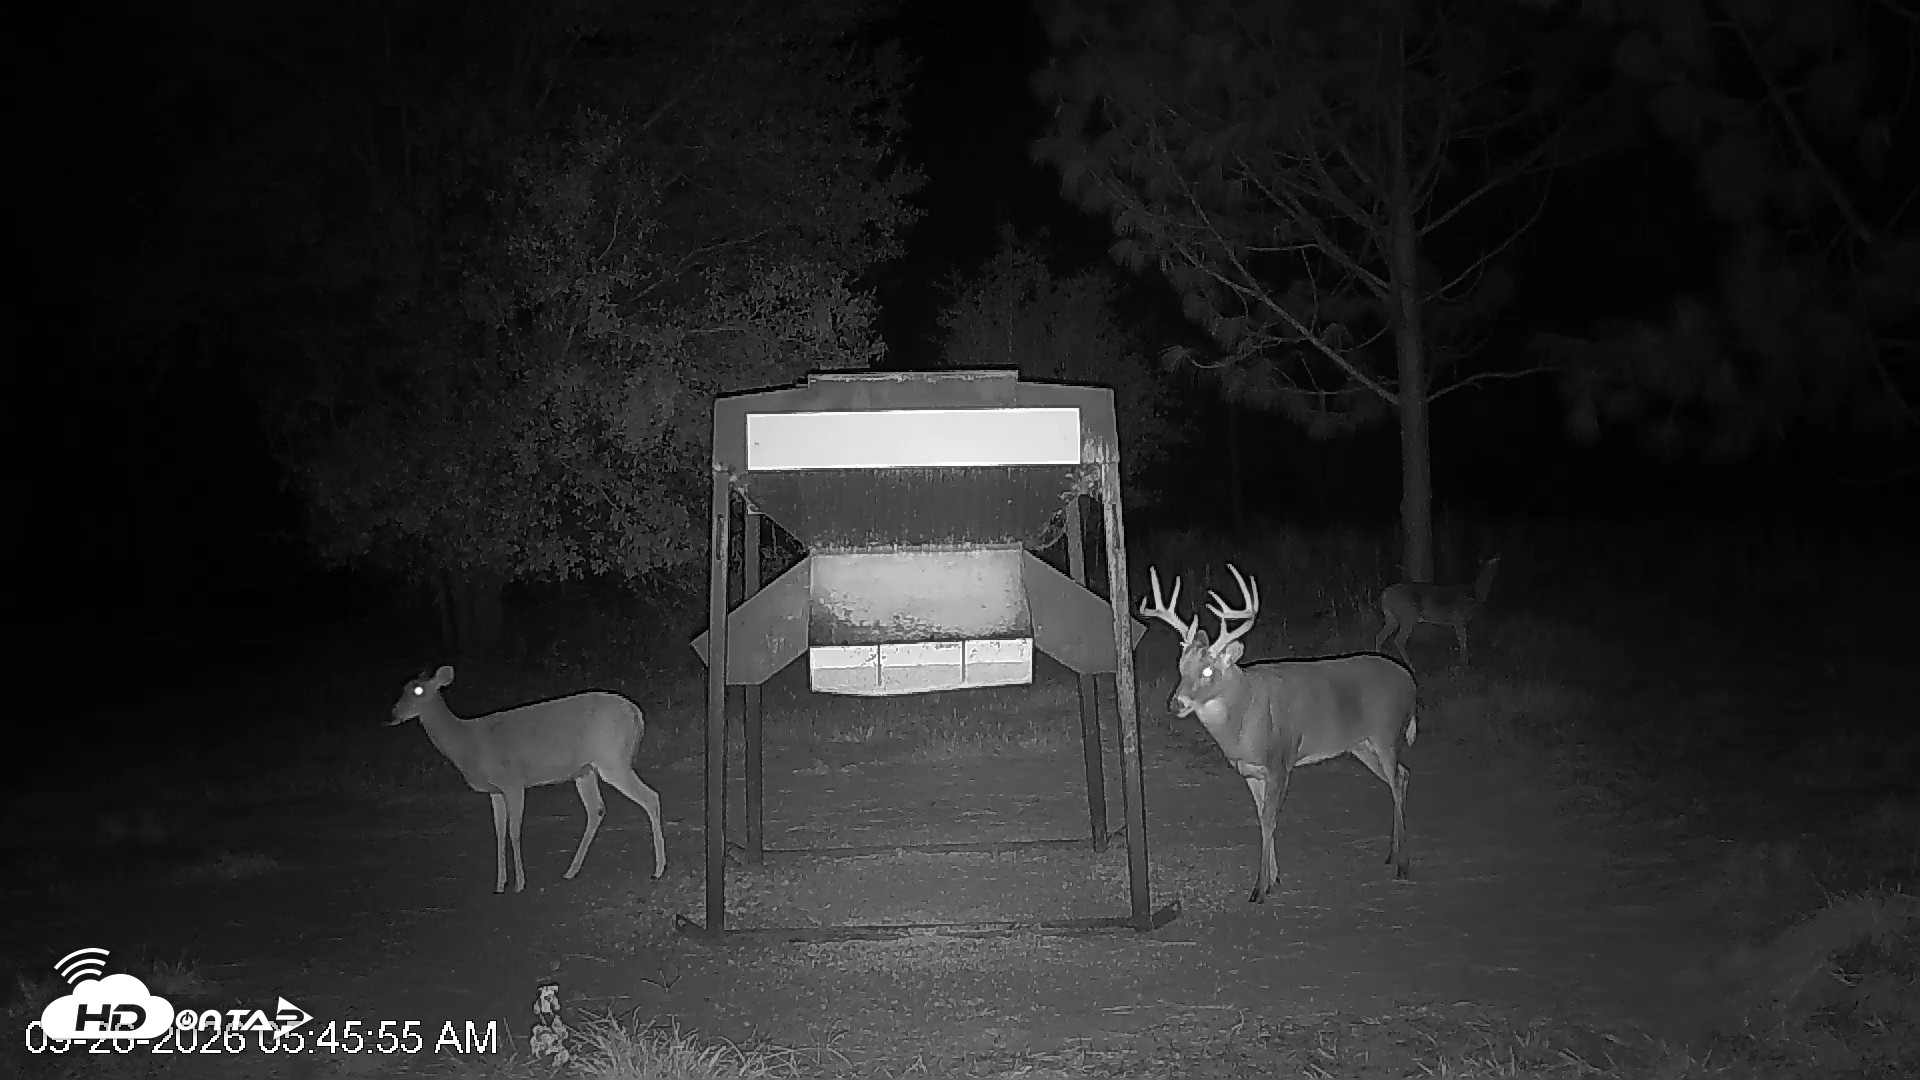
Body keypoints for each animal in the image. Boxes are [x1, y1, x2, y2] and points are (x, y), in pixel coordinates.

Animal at [387, 665, 667, 894]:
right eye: (403, 689)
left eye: (419, 690)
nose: (392, 714)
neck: (467, 743)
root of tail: (636, 713)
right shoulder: (495, 791)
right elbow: (499, 832)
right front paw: (500, 884)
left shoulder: (513, 782)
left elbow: (514, 831)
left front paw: (520, 883)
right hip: (585, 770)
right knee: (596, 809)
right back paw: (570, 871)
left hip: (612, 759)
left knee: (650, 797)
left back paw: (658, 869)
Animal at [1141, 564, 1418, 901]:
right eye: (1181, 666)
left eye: (1207, 671)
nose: (1175, 703)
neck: (1243, 718)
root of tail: (1410, 681)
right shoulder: (1250, 771)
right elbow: (1262, 818)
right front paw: (1273, 879)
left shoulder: (1280, 763)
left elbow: (1269, 820)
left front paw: (1259, 888)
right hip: (1362, 745)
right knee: (1402, 776)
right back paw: (1392, 855)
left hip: (1387, 733)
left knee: (1398, 779)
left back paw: (1404, 865)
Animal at [1373, 555, 1502, 667]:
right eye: (1493, 564)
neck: (1475, 595)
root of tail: (1385, 594)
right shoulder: (1459, 619)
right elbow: (1463, 640)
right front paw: (1464, 663)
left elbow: (1462, 640)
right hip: (1408, 616)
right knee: (1398, 640)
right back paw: (1411, 665)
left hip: (1391, 617)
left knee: (1380, 636)